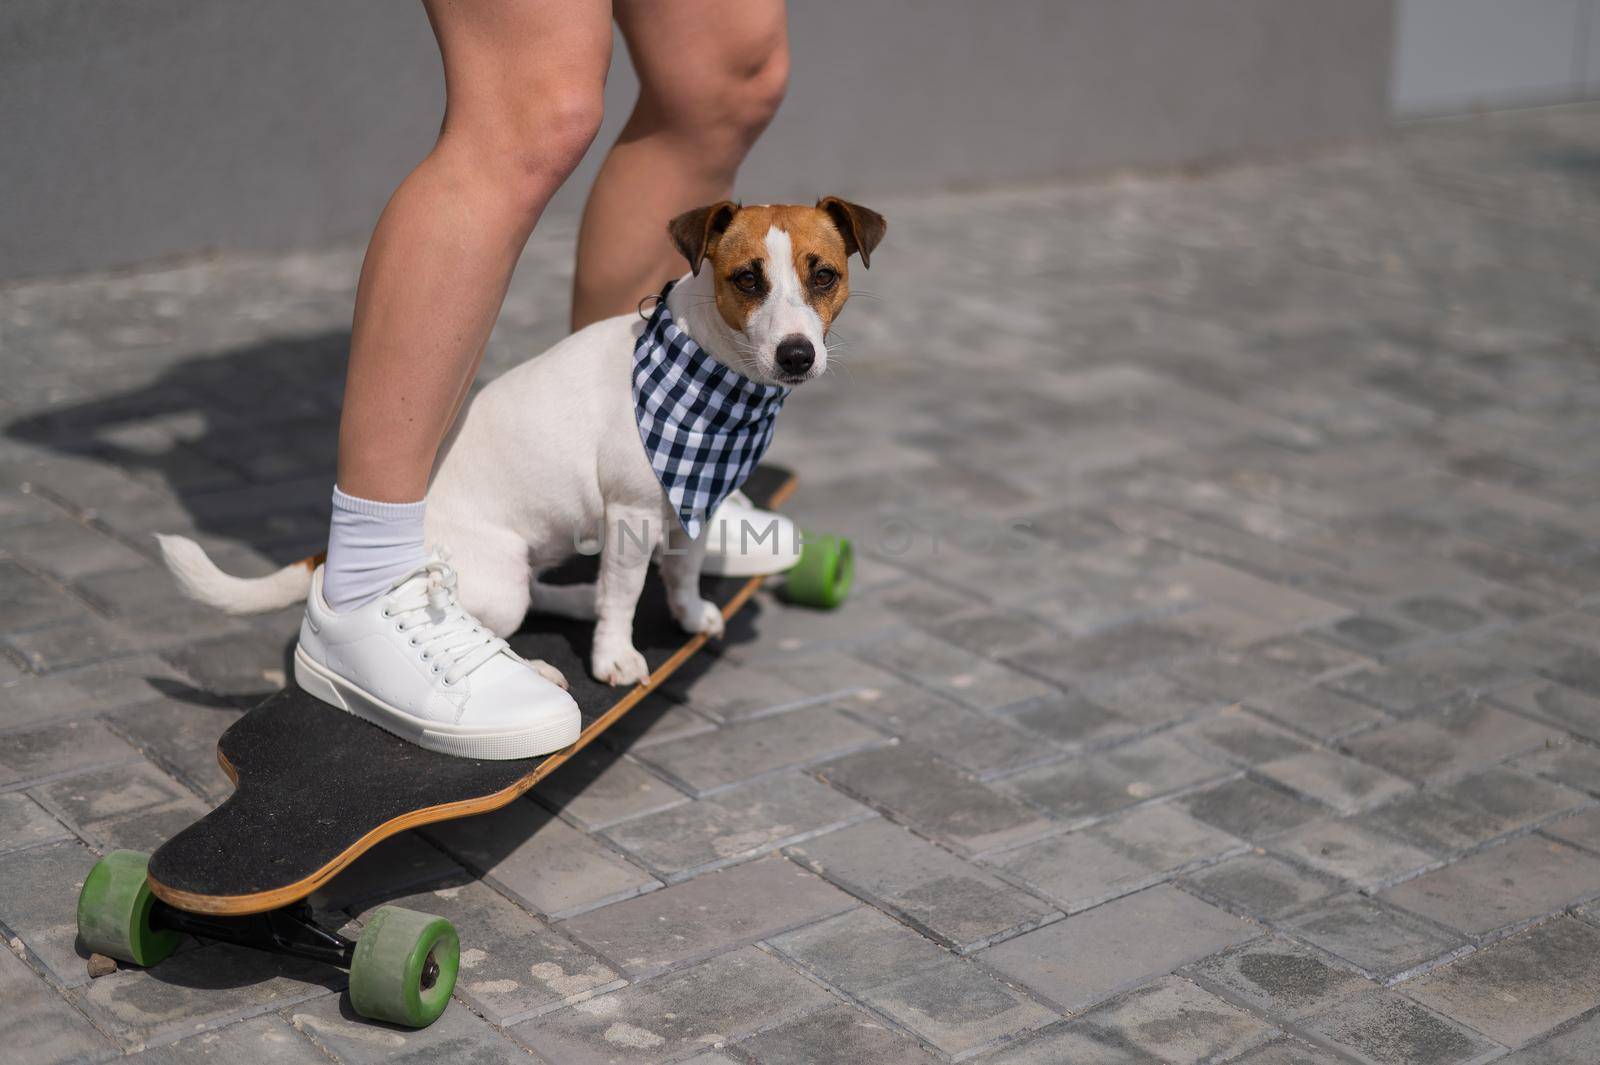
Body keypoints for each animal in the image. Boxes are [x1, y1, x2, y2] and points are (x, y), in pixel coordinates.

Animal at [159, 195, 889, 684]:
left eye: (823, 274)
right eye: (747, 279)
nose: (797, 355)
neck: (711, 374)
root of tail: (333, 553)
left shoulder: (692, 503)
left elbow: (680, 570)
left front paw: (689, 614)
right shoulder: (631, 514)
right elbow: (624, 595)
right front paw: (615, 656)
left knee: (544, 593)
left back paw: (573, 600)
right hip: (497, 577)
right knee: (493, 618)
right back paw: (538, 669)